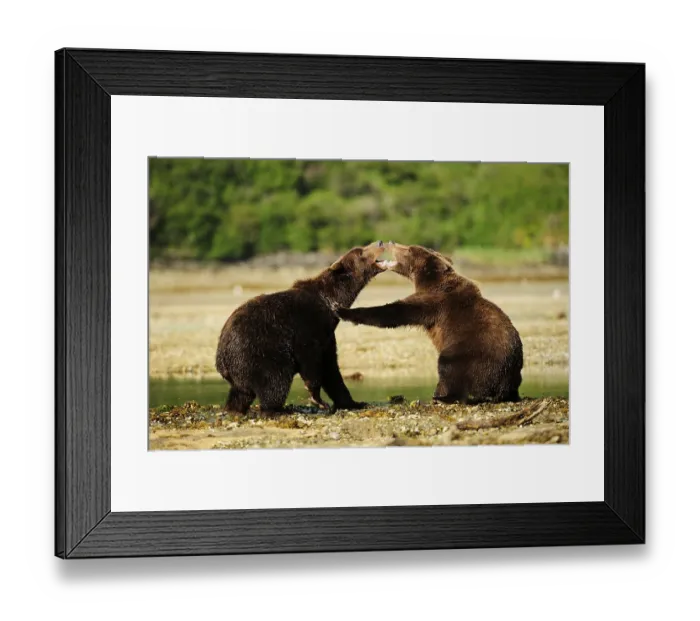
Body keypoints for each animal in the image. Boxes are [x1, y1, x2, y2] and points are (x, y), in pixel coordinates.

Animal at [215, 241, 387, 415]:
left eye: (362, 248)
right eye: (361, 252)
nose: (379, 242)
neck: (330, 302)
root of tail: (221, 357)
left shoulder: (327, 335)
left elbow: (331, 368)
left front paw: (353, 402)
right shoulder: (306, 325)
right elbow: (310, 360)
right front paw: (318, 399)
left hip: (241, 368)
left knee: (241, 392)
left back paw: (234, 409)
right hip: (258, 350)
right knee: (275, 380)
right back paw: (276, 410)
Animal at [336, 242, 523, 404]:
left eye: (409, 249)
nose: (391, 242)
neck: (428, 279)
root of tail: (506, 383)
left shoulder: (434, 301)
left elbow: (395, 312)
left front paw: (342, 310)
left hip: (473, 353)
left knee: (449, 367)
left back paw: (444, 397)